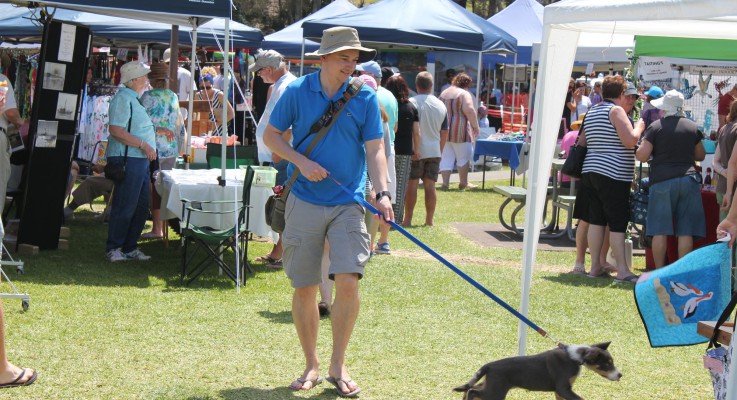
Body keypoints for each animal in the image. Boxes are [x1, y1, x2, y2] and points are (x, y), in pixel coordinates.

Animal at [453, 342, 621, 400]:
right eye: (607, 364)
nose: (620, 375)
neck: (575, 358)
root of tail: (489, 365)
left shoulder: (560, 391)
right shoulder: (563, 388)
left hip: (492, 384)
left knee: (471, 388)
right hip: (496, 392)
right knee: (472, 391)